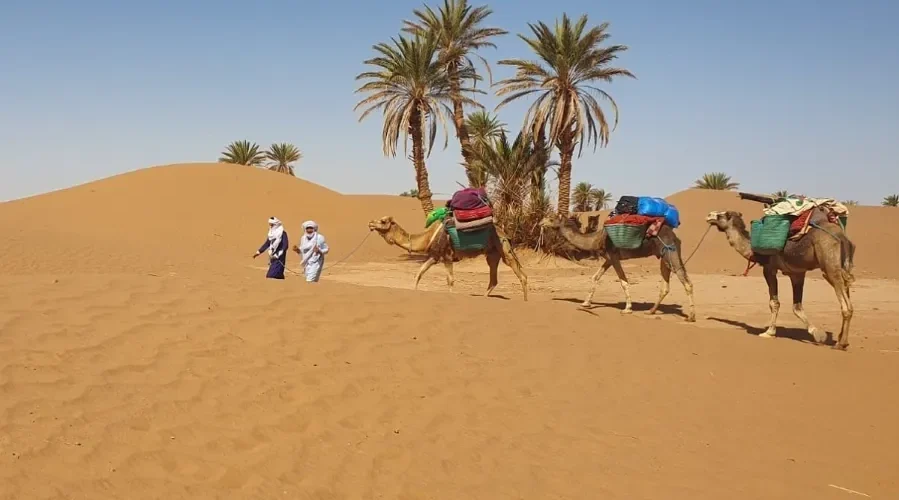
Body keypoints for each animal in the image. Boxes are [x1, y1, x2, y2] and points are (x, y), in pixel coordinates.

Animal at [367, 216, 528, 301]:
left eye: (383, 221)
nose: (370, 222)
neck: (427, 237)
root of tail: (503, 232)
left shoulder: (447, 256)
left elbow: (450, 280)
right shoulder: (435, 256)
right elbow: (419, 273)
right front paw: (414, 291)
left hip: (503, 249)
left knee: (520, 273)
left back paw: (525, 300)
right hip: (492, 254)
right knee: (494, 277)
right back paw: (484, 297)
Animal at [540, 215, 696, 322]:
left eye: (551, 218)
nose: (541, 222)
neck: (596, 239)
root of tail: (675, 236)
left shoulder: (614, 257)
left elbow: (623, 281)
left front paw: (627, 309)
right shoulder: (609, 259)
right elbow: (595, 277)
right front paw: (586, 303)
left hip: (670, 252)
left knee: (686, 281)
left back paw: (691, 316)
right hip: (663, 257)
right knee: (665, 286)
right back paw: (651, 311)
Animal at [706, 209, 855, 350]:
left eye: (723, 214)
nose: (709, 215)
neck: (753, 251)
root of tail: (842, 237)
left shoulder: (769, 268)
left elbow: (774, 303)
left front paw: (769, 332)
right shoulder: (797, 273)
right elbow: (797, 307)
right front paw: (816, 332)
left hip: (829, 266)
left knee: (846, 305)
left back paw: (840, 343)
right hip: (845, 265)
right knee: (847, 292)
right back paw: (842, 340)